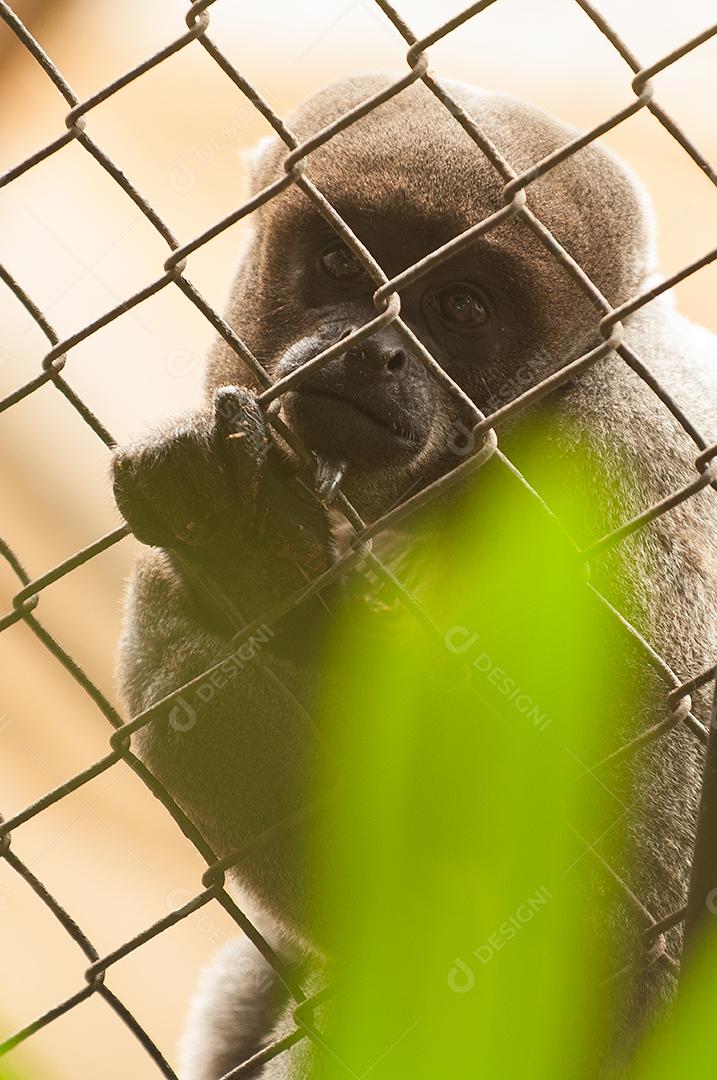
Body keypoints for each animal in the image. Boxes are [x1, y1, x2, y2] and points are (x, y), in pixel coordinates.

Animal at [112, 74, 717, 1078]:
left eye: (463, 308)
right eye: (338, 265)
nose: (370, 350)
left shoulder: (629, 500)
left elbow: (580, 967)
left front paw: (229, 598)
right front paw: (256, 572)